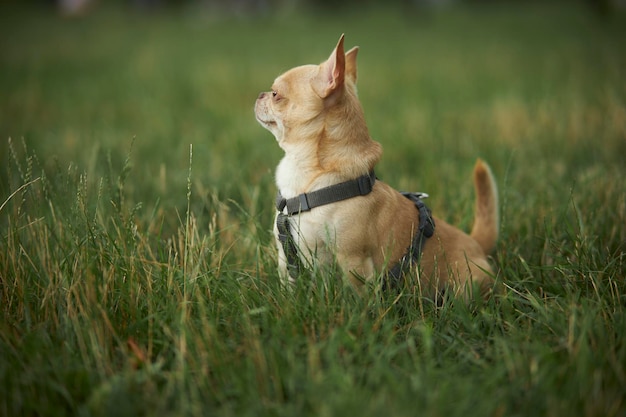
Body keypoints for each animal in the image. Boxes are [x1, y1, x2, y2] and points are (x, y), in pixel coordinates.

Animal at [254, 35, 498, 296]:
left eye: (276, 94)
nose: (260, 94)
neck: (309, 179)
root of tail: (476, 243)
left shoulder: (353, 262)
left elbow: (356, 297)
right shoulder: (286, 258)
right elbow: (289, 286)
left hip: (465, 285)